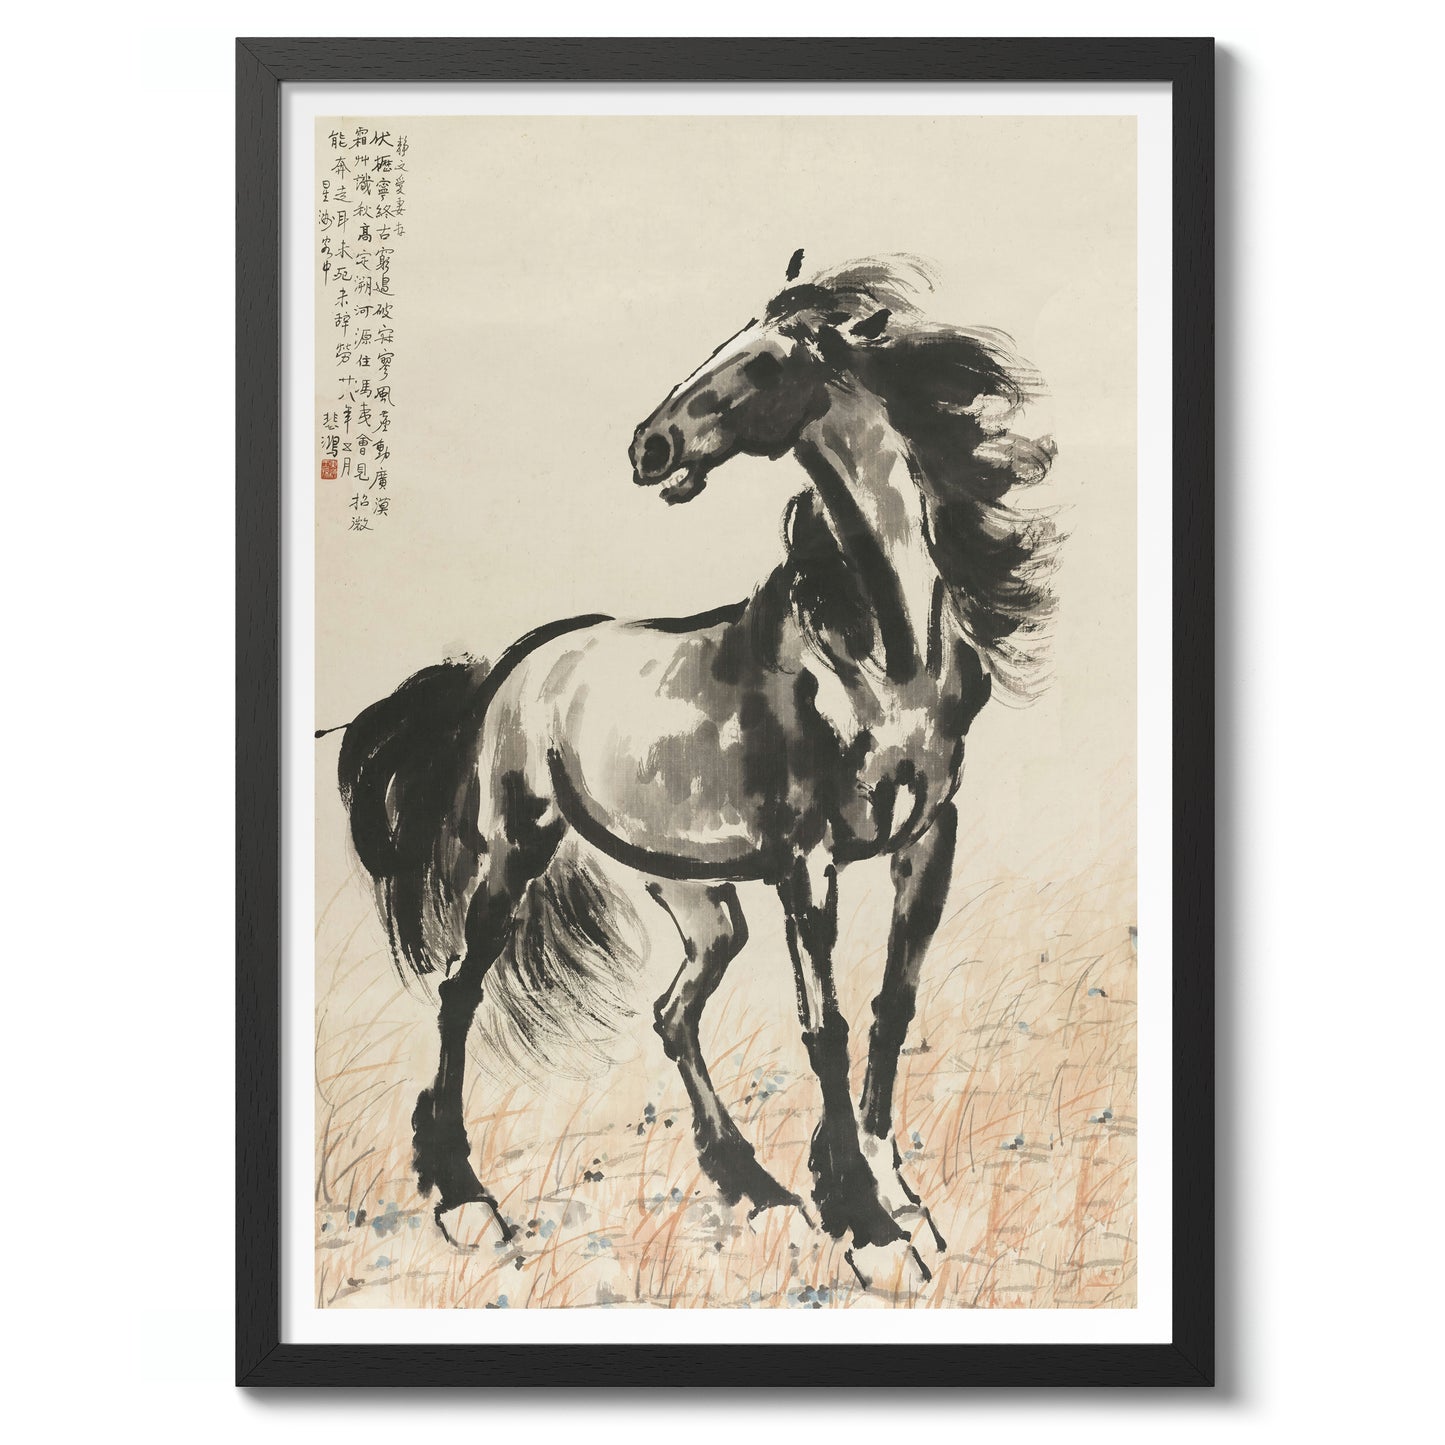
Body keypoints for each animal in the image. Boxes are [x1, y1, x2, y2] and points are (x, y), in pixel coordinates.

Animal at [329, 251, 1059, 1289]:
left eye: (762, 363)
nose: (651, 446)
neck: (884, 654)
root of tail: (512, 667)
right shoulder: (808, 862)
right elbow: (827, 1027)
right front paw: (867, 1225)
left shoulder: (928, 837)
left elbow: (890, 1004)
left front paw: (898, 1196)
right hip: (512, 851)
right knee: (459, 991)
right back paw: (466, 1198)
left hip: (696, 895)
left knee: (672, 1011)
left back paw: (749, 1180)